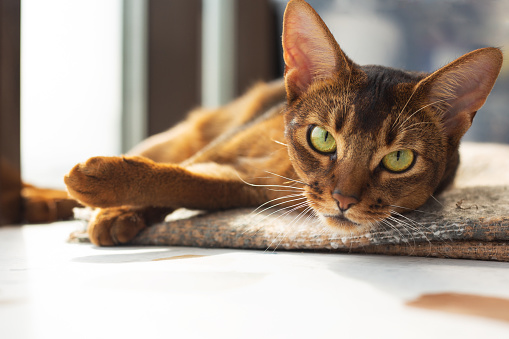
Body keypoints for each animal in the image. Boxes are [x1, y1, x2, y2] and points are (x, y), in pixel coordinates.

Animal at [59, 0, 500, 247]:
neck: (281, 167)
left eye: (399, 160)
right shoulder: (218, 152)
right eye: (322, 138)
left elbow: (183, 182)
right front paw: (109, 200)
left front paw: (108, 200)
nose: (343, 200)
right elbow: (174, 171)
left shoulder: (239, 186)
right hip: (184, 135)